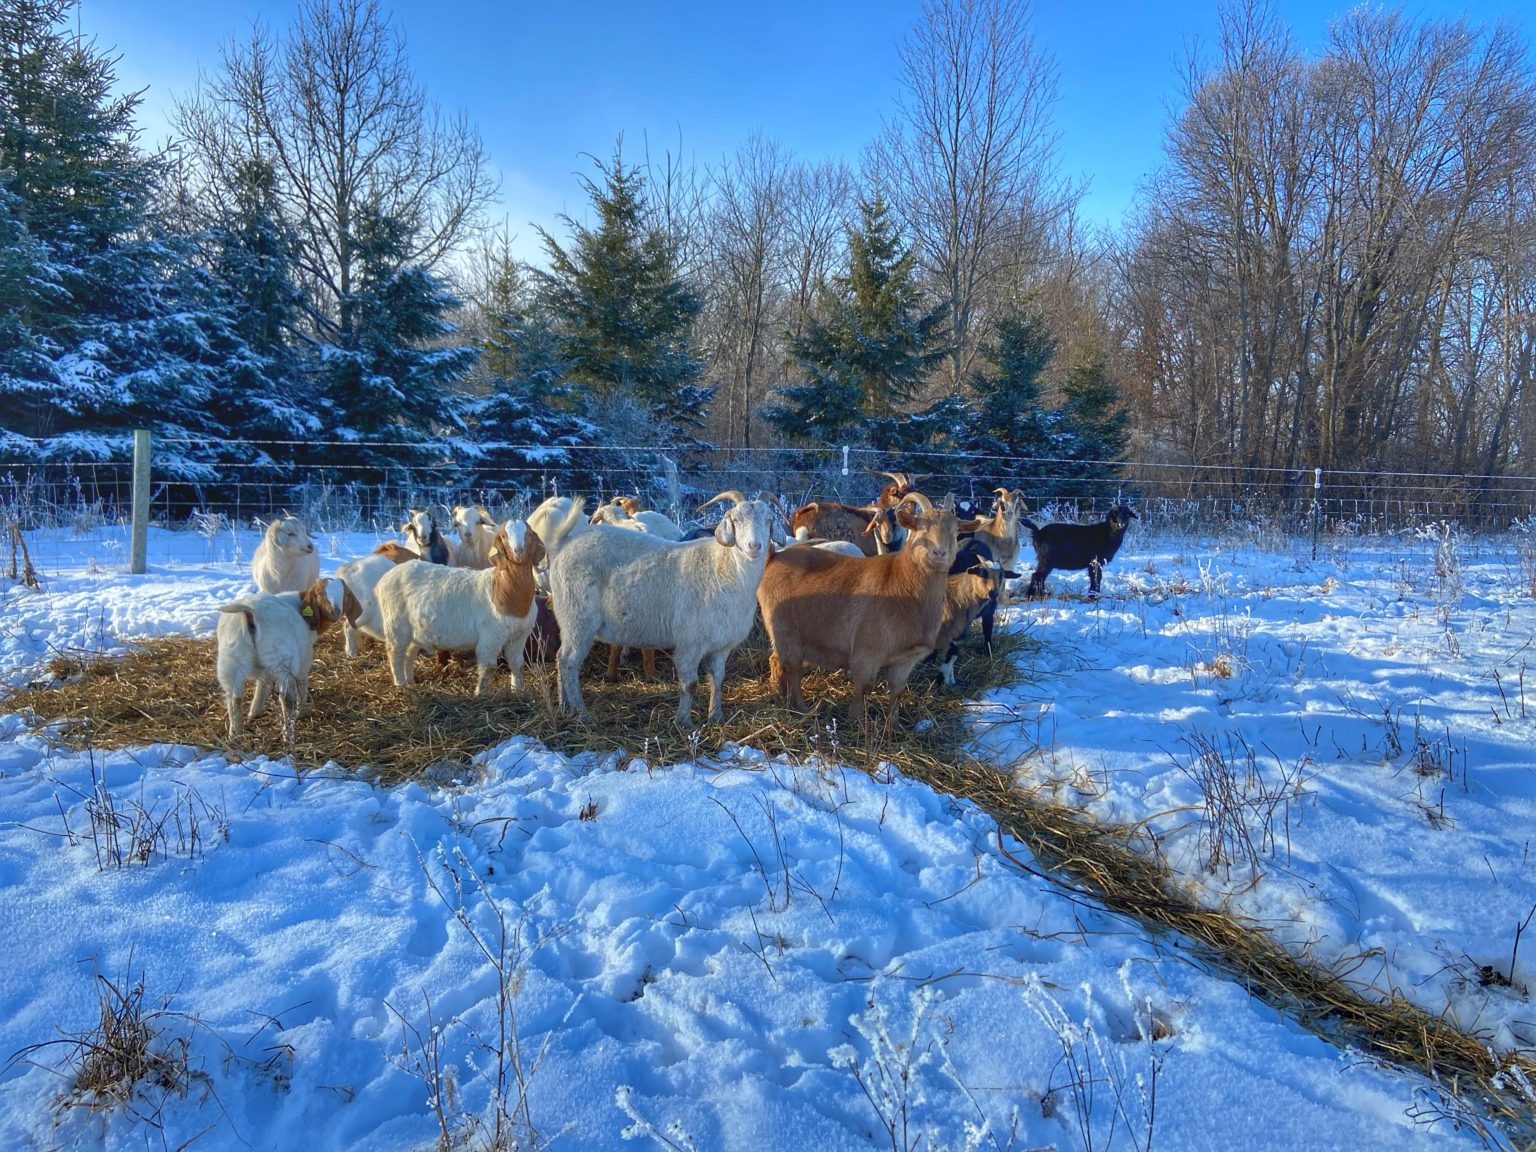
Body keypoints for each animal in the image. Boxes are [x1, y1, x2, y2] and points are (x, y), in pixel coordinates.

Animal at [216, 580, 348, 743]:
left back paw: (234, 736)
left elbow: (262, 684)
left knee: (234, 699)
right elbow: (302, 685)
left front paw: (255, 711)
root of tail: (250, 612)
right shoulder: (304, 657)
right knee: (286, 699)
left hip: (231, 661)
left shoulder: (266, 669)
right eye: (320, 594)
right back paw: (288, 736)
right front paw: (303, 711)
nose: (335, 613)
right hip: (283, 660)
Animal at [373, 522, 546, 694]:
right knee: (395, 654)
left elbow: (517, 664)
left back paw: (410, 682)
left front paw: (518, 690)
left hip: (415, 630)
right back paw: (400, 684)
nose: (518, 551)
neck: (504, 587)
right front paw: (480, 694)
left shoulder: (520, 635)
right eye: (504, 536)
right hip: (395, 625)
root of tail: (384, 579)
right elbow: (488, 668)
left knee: (409, 653)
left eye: (529, 534)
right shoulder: (490, 637)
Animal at [546, 491, 786, 724]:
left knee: (560, 658)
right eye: (735, 520)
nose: (754, 546)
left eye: (769, 519)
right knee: (569, 662)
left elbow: (717, 680)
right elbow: (690, 683)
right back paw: (582, 713)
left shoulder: (721, 645)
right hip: (578, 619)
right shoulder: (690, 642)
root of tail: (562, 545)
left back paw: (564, 707)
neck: (723, 568)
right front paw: (684, 721)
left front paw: (716, 716)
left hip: (568, 621)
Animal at [758, 488, 958, 724]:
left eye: (955, 529)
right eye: (920, 527)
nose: (939, 553)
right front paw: (856, 721)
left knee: (777, 661)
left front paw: (893, 723)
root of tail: (774, 557)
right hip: (785, 631)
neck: (901, 580)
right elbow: (864, 688)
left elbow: (897, 691)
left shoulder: (906, 659)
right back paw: (802, 709)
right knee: (791, 668)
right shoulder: (866, 652)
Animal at [927, 540, 1013, 691]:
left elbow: (953, 653)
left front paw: (948, 680)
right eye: (982, 572)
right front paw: (942, 678)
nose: (993, 593)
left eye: (1002, 575)